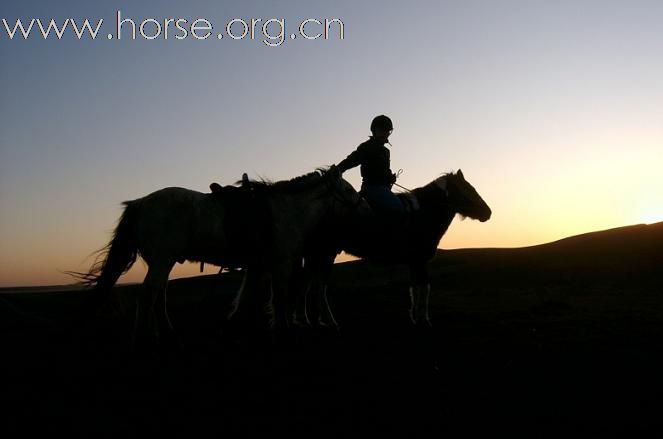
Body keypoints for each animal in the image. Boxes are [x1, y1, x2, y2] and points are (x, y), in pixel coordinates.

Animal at [298, 170, 490, 328]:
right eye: (468, 189)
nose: (488, 213)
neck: (423, 213)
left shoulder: (414, 262)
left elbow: (415, 288)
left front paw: (415, 317)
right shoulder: (420, 261)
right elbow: (424, 288)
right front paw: (424, 319)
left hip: (316, 255)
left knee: (308, 284)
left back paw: (309, 319)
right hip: (325, 254)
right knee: (318, 287)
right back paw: (327, 320)